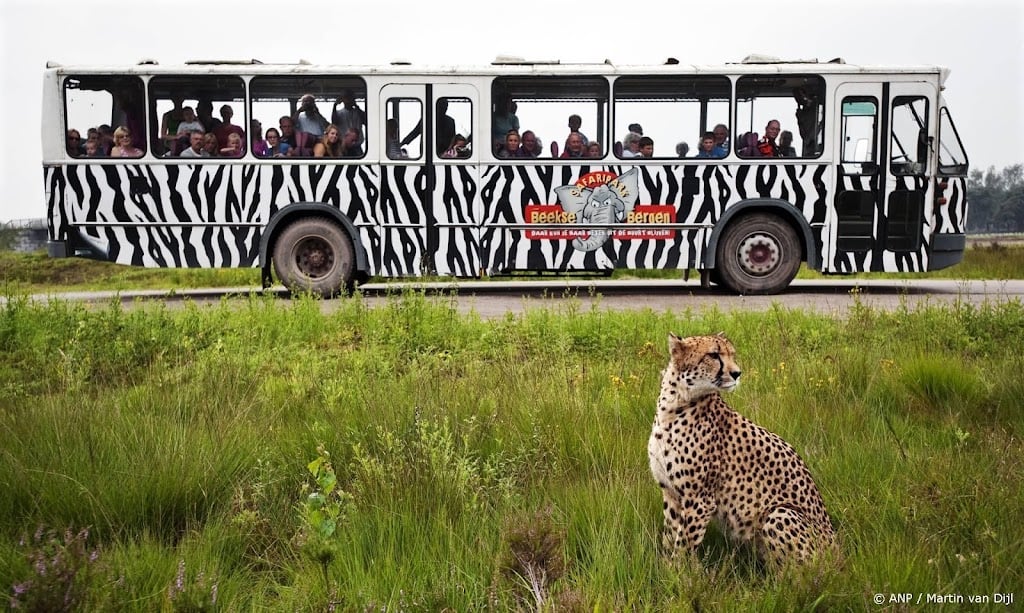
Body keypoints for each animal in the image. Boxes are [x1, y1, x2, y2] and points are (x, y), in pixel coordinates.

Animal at [647, 332, 836, 566]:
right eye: (713, 355)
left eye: (731, 354)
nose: (737, 373)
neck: (674, 403)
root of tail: (839, 553)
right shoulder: (671, 493)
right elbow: (669, 537)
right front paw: (665, 569)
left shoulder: (700, 499)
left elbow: (682, 546)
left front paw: (678, 572)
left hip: (780, 513)